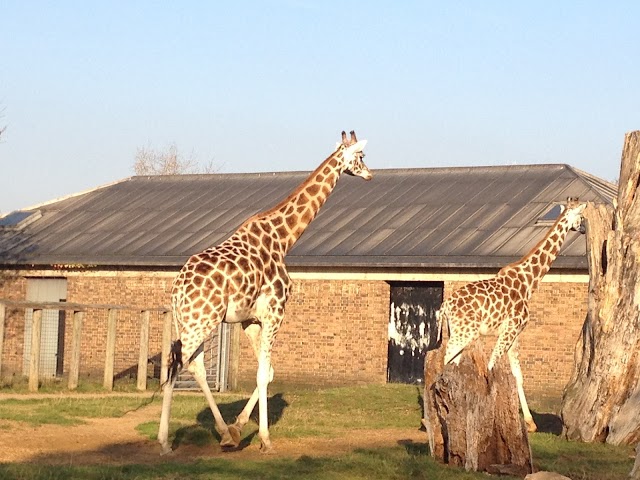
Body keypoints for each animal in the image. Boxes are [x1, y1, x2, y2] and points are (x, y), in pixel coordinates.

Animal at [158, 130, 372, 454]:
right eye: (361, 157)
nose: (370, 174)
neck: (283, 239)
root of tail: (178, 289)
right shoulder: (275, 313)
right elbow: (262, 373)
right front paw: (265, 439)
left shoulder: (250, 319)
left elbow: (267, 372)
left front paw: (238, 427)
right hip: (202, 321)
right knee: (180, 363)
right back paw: (171, 441)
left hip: (191, 321)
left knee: (188, 363)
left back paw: (212, 433)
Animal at [438, 198, 588, 432]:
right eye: (581, 216)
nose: (583, 229)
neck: (529, 282)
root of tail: (445, 306)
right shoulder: (510, 330)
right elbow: (490, 367)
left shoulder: (516, 333)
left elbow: (518, 374)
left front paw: (530, 423)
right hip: (464, 333)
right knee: (445, 361)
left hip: (459, 332)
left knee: (452, 364)